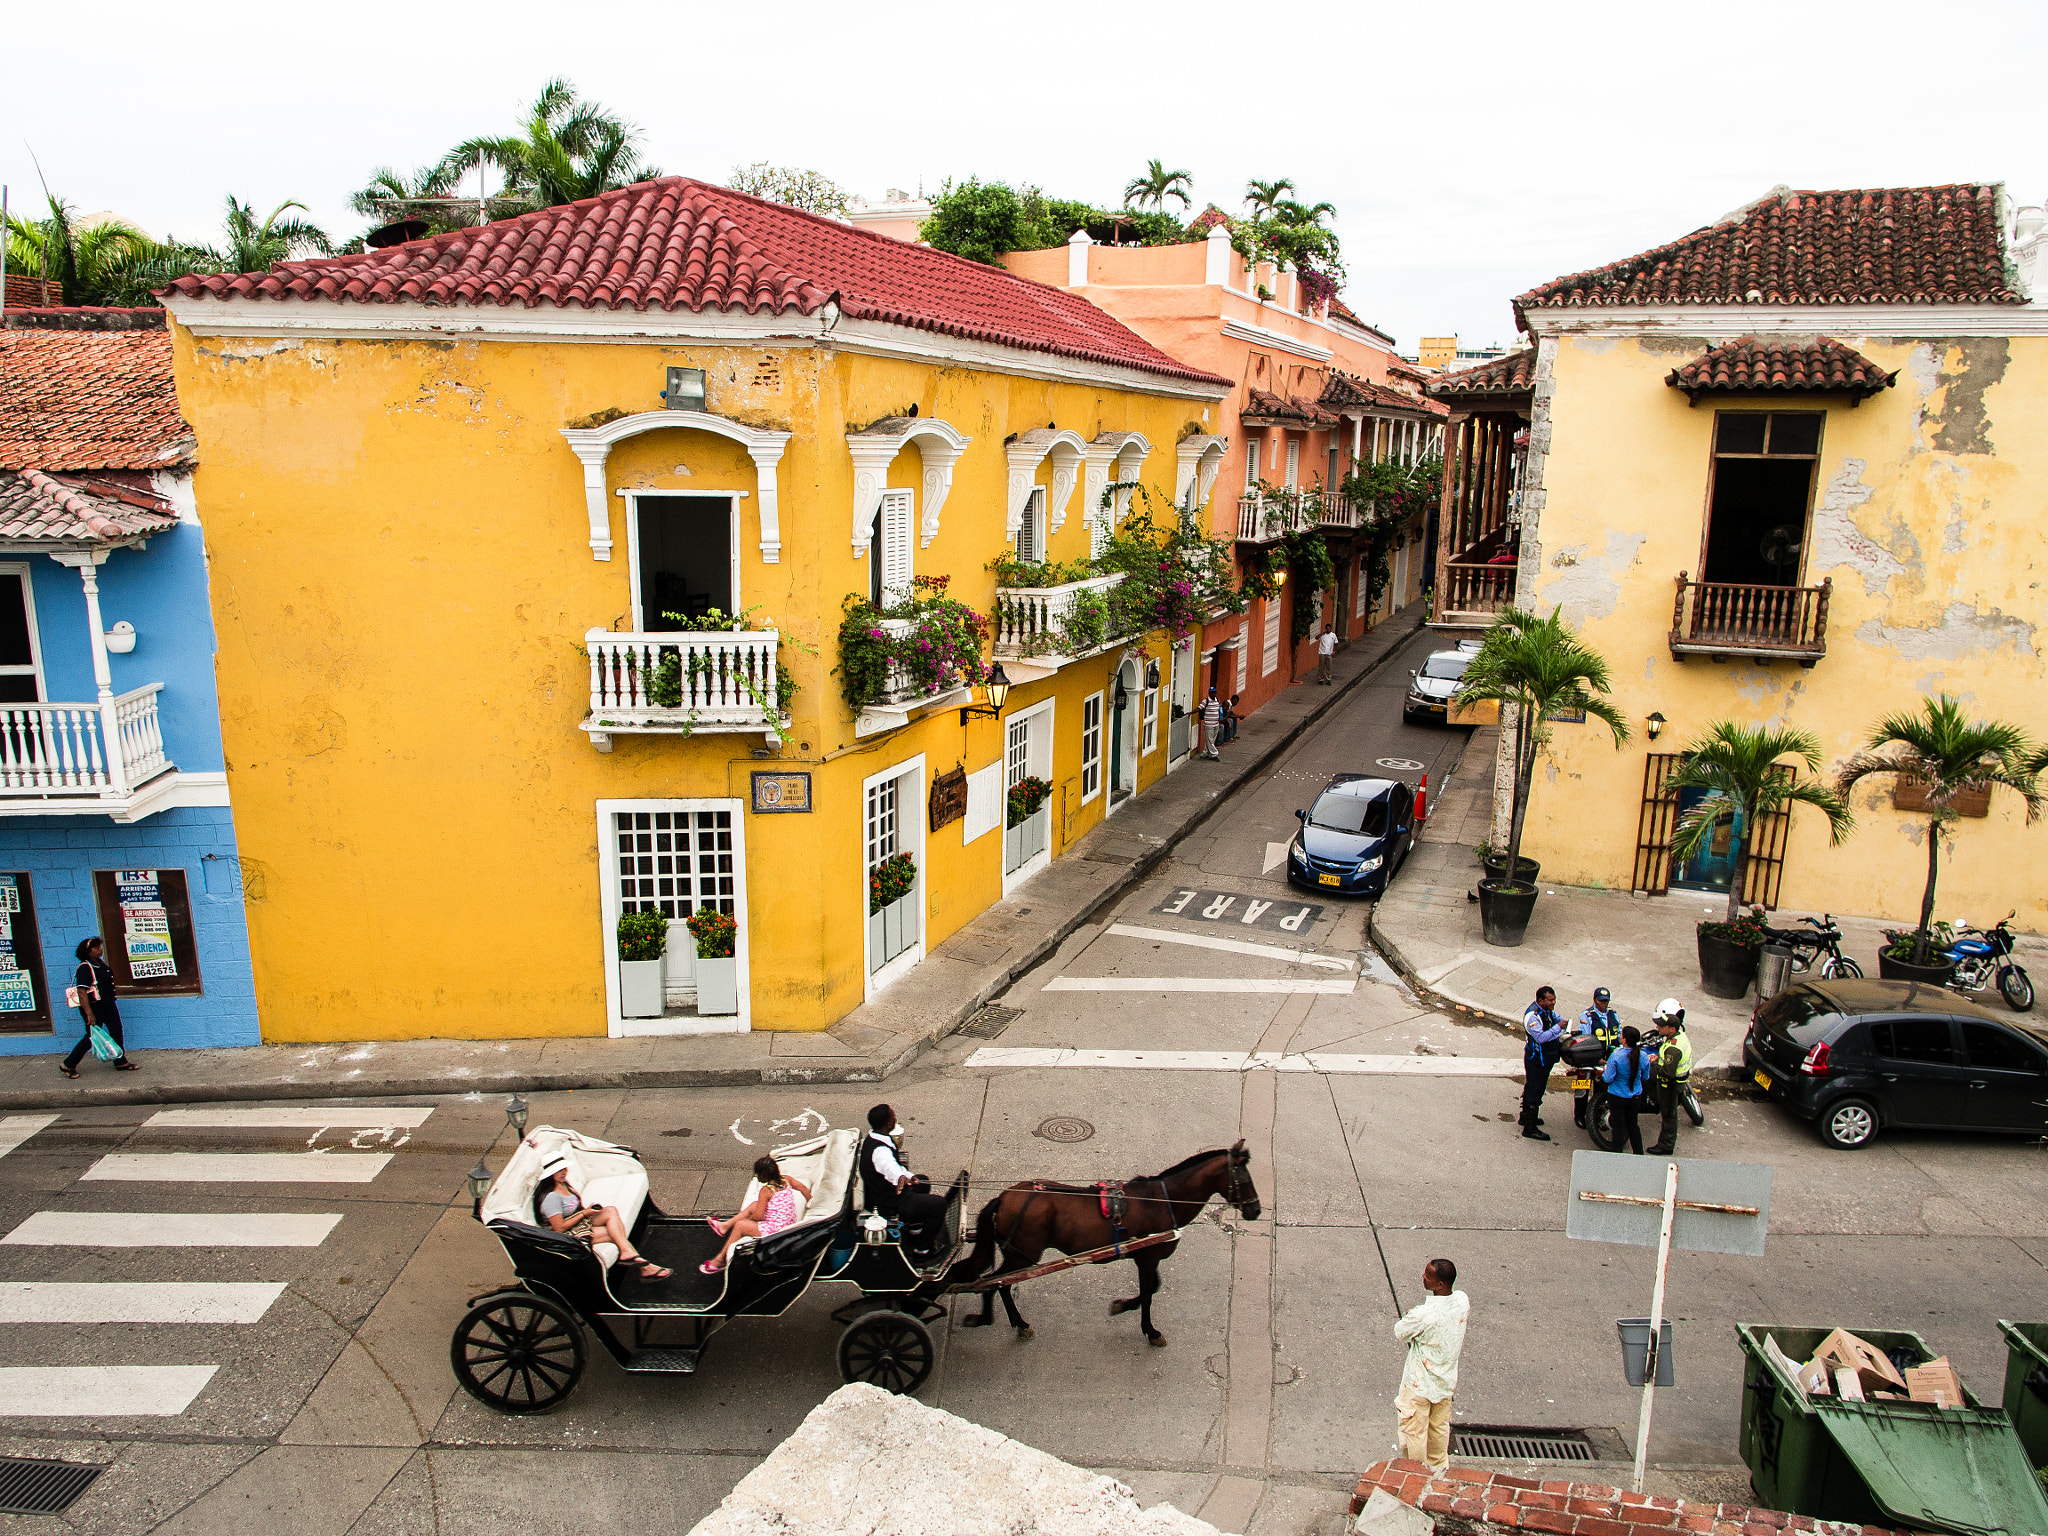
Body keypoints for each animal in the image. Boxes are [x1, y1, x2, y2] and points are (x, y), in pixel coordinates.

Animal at [946, 1146, 1261, 1343]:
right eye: (1245, 1178)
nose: (1256, 1210)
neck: (1164, 1200)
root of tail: (1003, 1197)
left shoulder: (1146, 1257)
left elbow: (1152, 1289)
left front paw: (1123, 1306)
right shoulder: (1148, 1258)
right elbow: (1149, 1293)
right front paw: (1149, 1330)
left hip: (1018, 1255)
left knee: (998, 1282)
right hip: (1022, 1255)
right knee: (994, 1282)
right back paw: (1000, 1320)